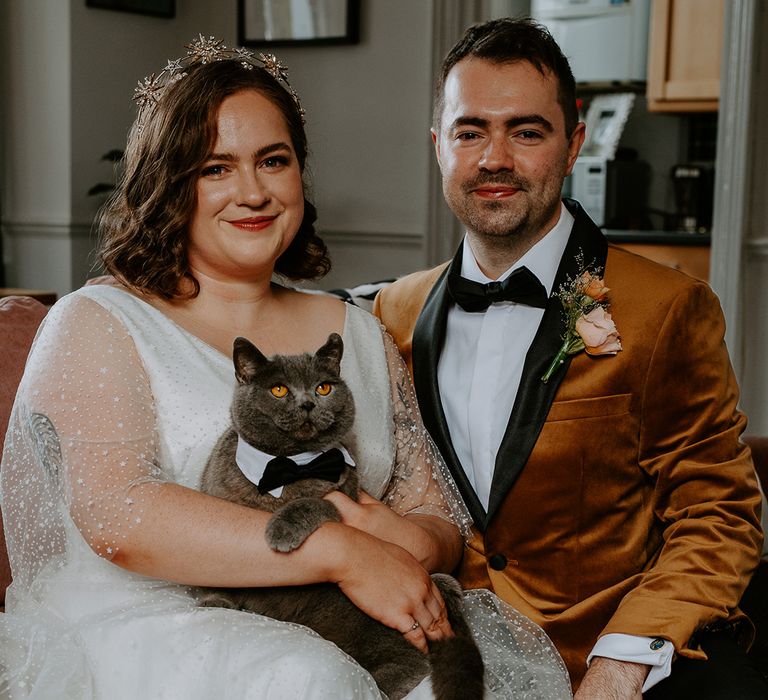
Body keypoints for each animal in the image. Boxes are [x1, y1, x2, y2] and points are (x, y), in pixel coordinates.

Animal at [200, 334, 486, 700]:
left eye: (323, 388)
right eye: (279, 390)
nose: (308, 404)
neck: (289, 466)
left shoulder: (342, 496)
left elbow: (315, 504)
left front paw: (280, 529)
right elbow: (218, 573)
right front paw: (214, 600)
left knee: (412, 661)